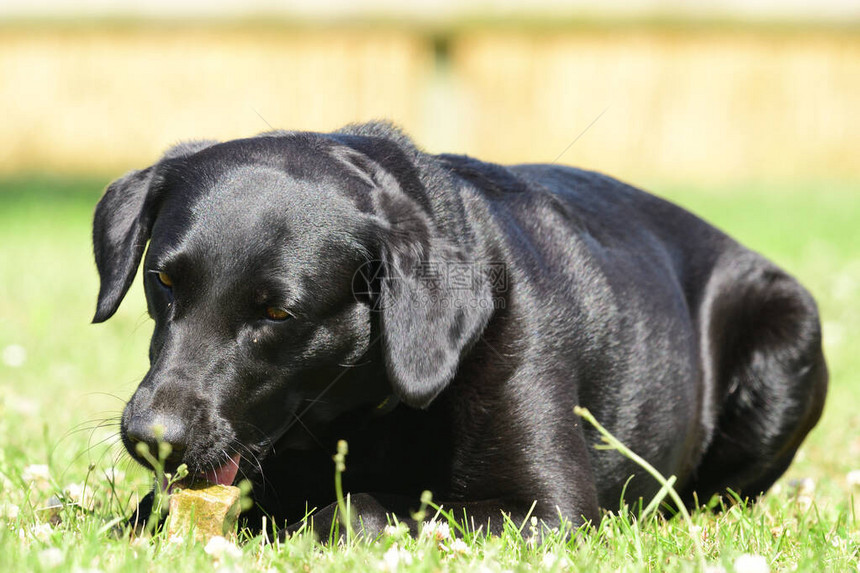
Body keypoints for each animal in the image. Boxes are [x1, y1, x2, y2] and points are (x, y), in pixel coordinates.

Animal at [92, 122, 828, 536]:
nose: (151, 438)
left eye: (277, 312)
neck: (363, 417)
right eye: (163, 281)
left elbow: (353, 508)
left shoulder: (549, 510)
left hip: (787, 333)